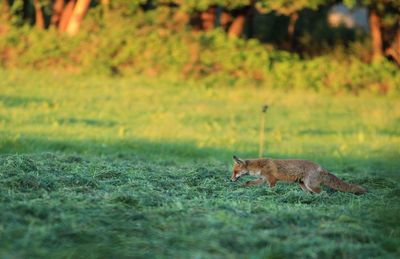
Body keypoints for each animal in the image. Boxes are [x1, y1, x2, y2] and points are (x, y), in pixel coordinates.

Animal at [230, 156, 368, 195]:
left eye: (235, 172)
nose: (230, 180)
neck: (259, 166)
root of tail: (321, 167)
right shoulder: (262, 179)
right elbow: (248, 183)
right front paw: (241, 188)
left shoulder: (272, 180)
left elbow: (271, 189)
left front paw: (271, 195)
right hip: (303, 185)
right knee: (311, 193)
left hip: (310, 185)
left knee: (323, 192)